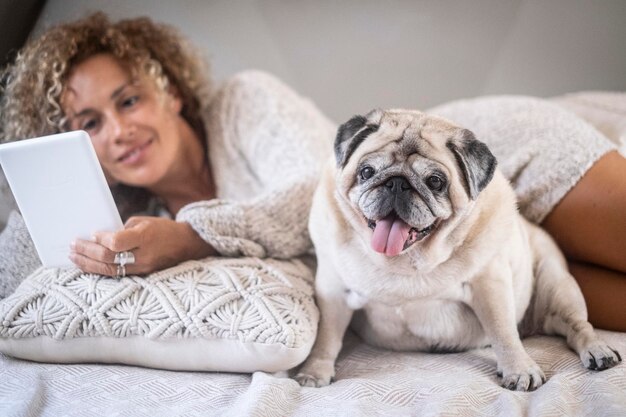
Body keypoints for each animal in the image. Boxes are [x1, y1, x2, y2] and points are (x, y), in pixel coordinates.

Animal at [294, 108, 620, 390]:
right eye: (366, 171)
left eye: (435, 182)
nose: (397, 183)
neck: (405, 260)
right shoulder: (333, 292)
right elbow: (327, 337)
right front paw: (315, 371)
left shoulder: (490, 285)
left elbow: (503, 332)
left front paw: (519, 369)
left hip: (558, 285)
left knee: (578, 326)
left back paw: (598, 351)